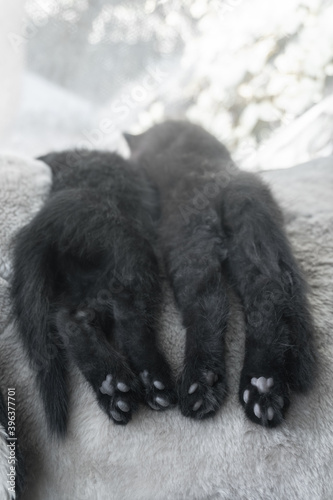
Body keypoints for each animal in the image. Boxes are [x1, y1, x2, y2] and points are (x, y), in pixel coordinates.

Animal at [11, 150, 174, 436]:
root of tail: (42, 223)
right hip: (132, 252)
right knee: (130, 319)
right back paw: (152, 380)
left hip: (84, 285)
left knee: (70, 320)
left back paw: (112, 388)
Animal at [124, 120, 314, 426]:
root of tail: (225, 184)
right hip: (253, 247)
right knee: (267, 301)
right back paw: (262, 387)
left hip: (187, 247)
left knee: (210, 306)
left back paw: (200, 385)